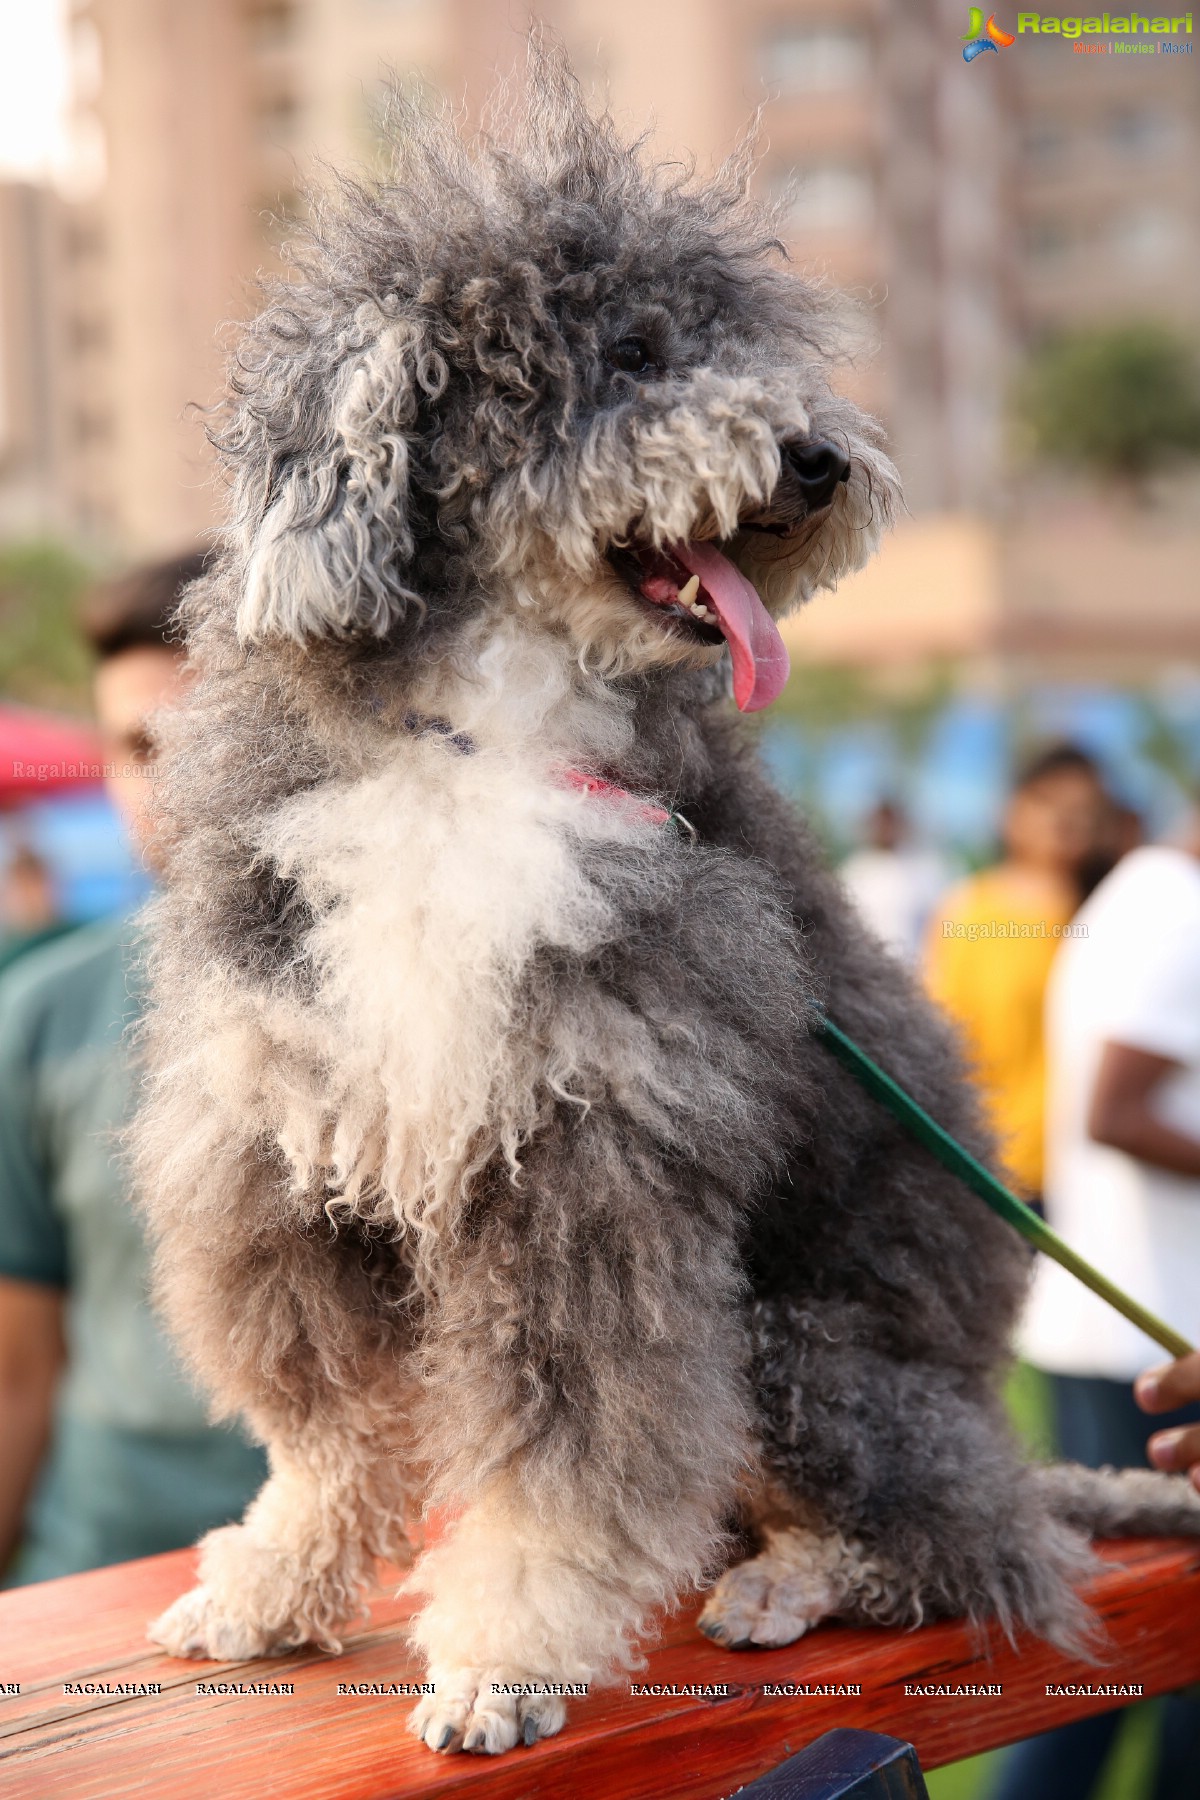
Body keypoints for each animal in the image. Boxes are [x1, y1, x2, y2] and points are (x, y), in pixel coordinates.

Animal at [135, 52, 1194, 1756]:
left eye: (736, 344)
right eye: (629, 354)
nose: (819, 460)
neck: (482, 737)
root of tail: (994, 1419)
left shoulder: (589, 1163)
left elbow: (572, 1454)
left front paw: (506, 1654)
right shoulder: (292, 1134)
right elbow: (331, 1429)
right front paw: (275, 1583)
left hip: (801, 1352)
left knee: (956, 1535)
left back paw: (789, 1582)